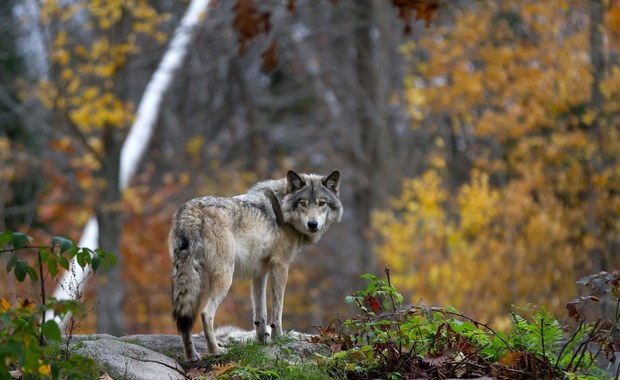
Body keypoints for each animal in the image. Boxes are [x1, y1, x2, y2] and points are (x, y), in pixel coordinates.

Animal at [170, 169, 344, 360]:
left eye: (321, 203)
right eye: (303, 204)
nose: (312, 224)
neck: (282, 210)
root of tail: (191, 211)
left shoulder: (259, 272)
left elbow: (260, 314)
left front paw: (262, 342)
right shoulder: (281, 265)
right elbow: (277, 310)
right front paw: (278, 338)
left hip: (188, 278)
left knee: (184, 318)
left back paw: (192, 356)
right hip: (225, 276)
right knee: (205, 313)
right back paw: (216, 350)